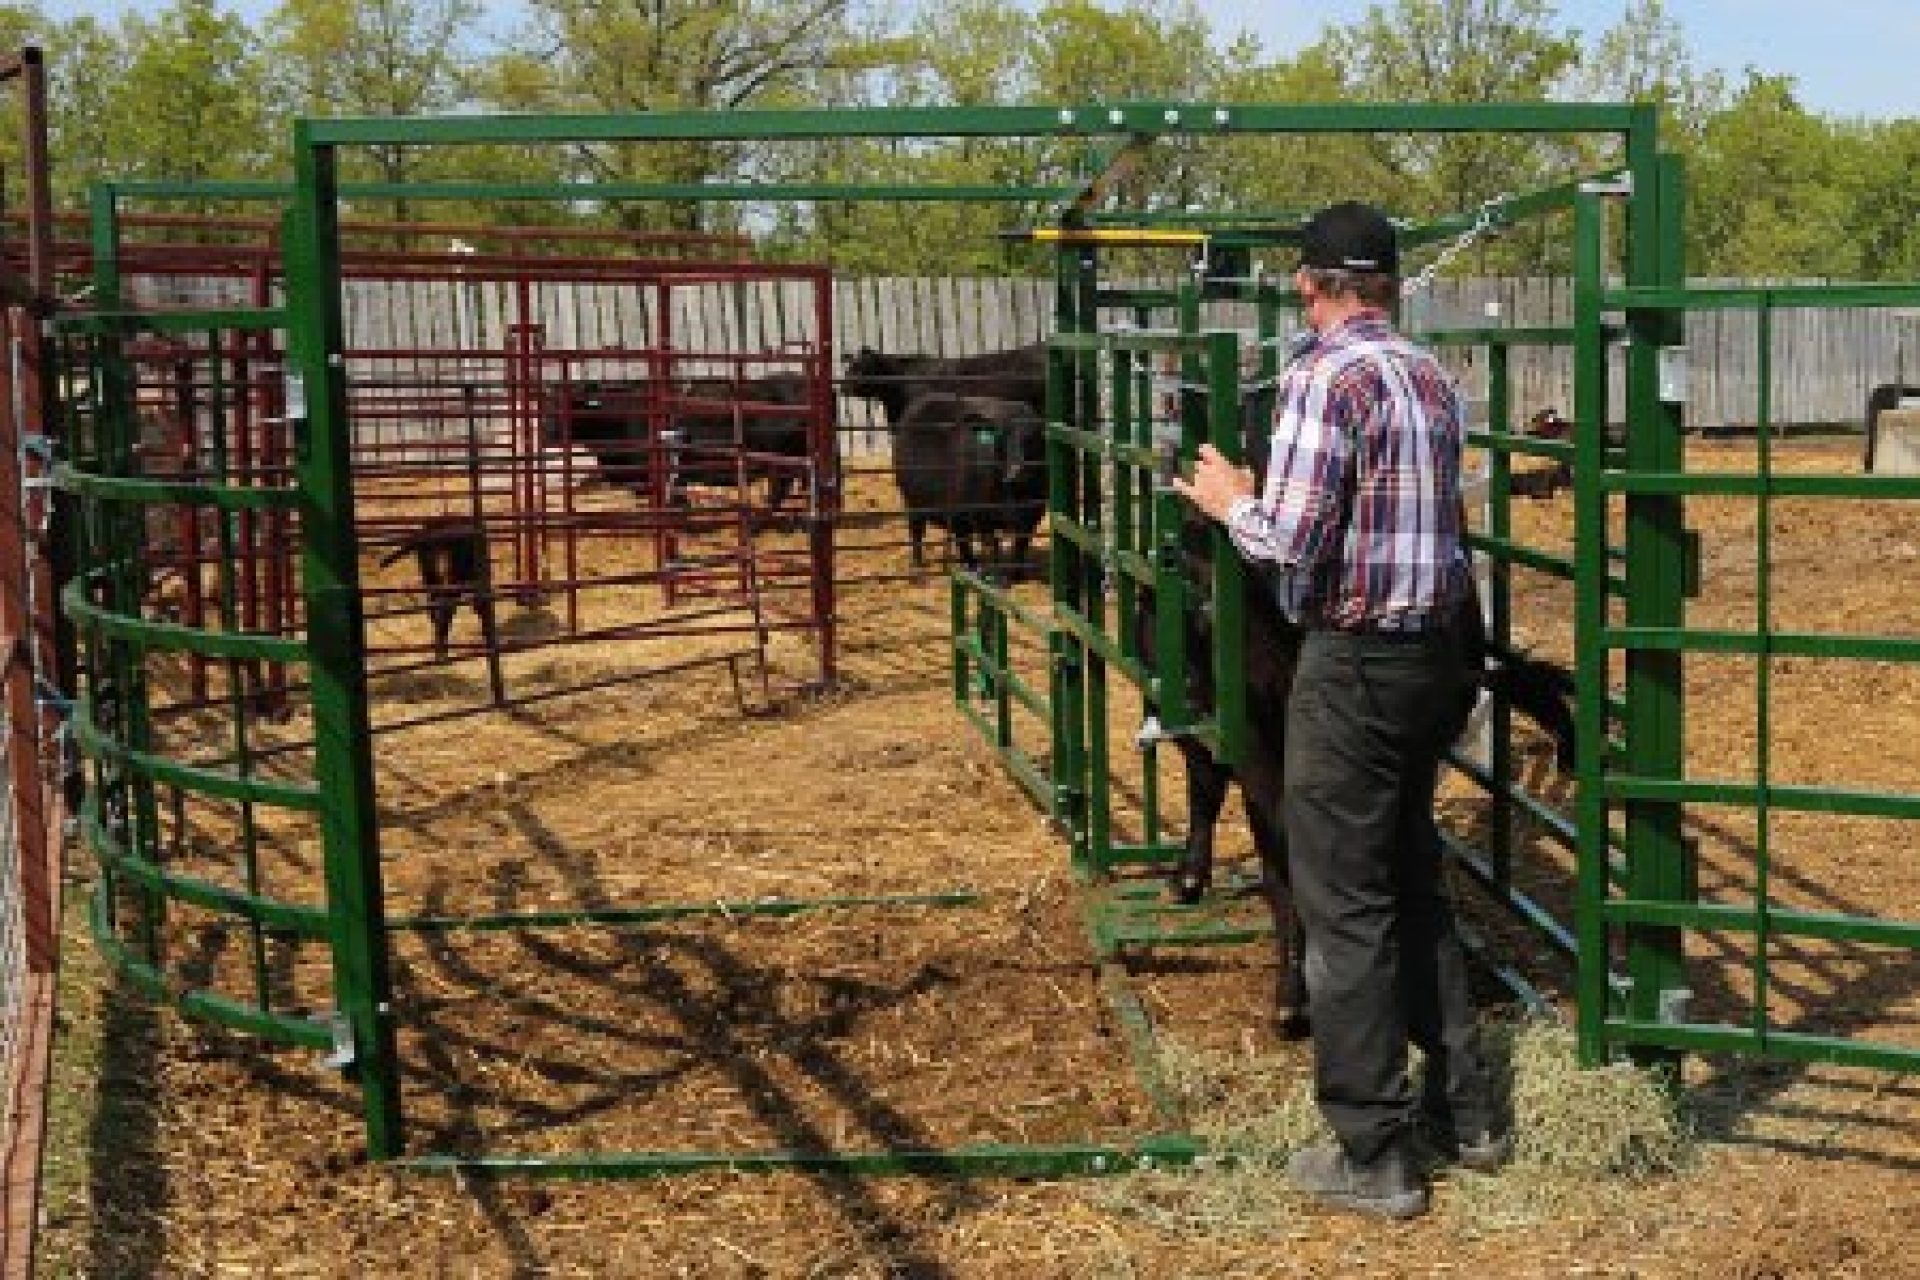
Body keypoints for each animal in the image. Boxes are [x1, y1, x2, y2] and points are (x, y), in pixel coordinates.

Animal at [887, 393, 1044, 579]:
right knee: (917, 531)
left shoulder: (1031, 516)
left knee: (961, 538)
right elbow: (991, 546)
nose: (1017, 470)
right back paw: (919, 564)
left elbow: (1020, 547)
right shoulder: (981, 517)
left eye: (1032, 437)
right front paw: (994, 576)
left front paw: (1016, 575)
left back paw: (970, 565)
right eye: (1001, 437)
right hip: (913, 503)